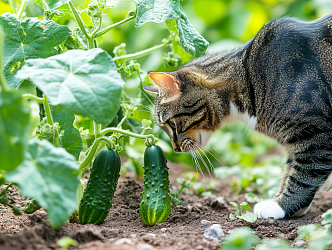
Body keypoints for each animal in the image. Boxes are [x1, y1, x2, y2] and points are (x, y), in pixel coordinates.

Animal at [145, 13, 332, 219]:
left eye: (171, 123)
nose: (176, 149)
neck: (249, 79)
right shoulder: (298, 142)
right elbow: (291, 169)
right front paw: (290, 205)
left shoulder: (316, 136)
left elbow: (304, 175)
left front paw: (280, 206)